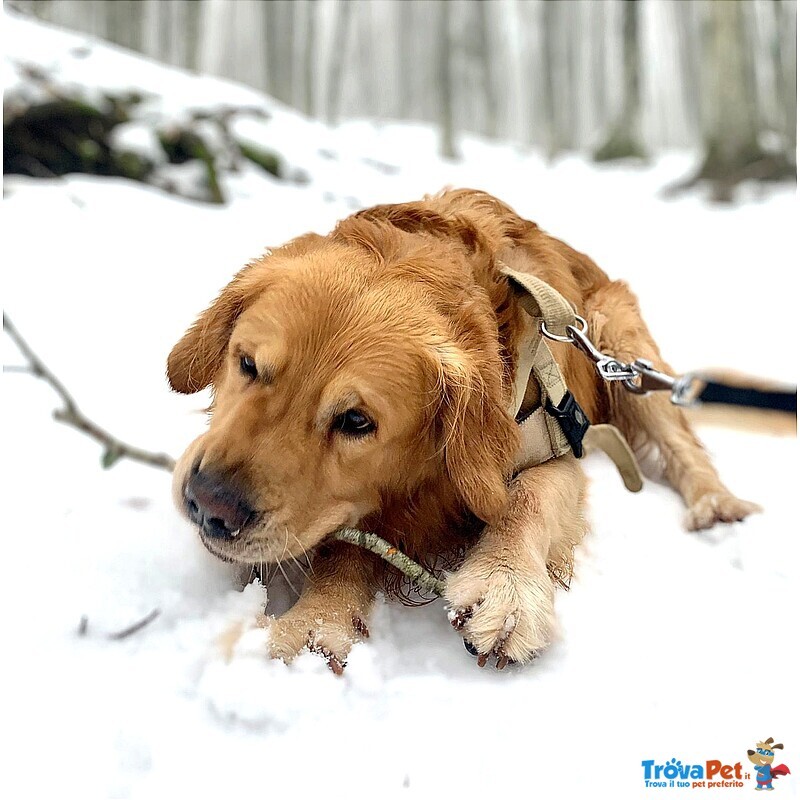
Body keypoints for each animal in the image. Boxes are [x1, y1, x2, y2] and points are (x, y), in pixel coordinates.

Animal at [167, 191, 756, 672]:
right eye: (247, 365)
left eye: (356, 421)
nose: (209, 504)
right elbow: (349, 546)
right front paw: (317, 620)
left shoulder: (560, 439)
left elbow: (528, 494)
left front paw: (506, 585)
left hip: (621, 343)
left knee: (681, 442)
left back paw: (716, 504)